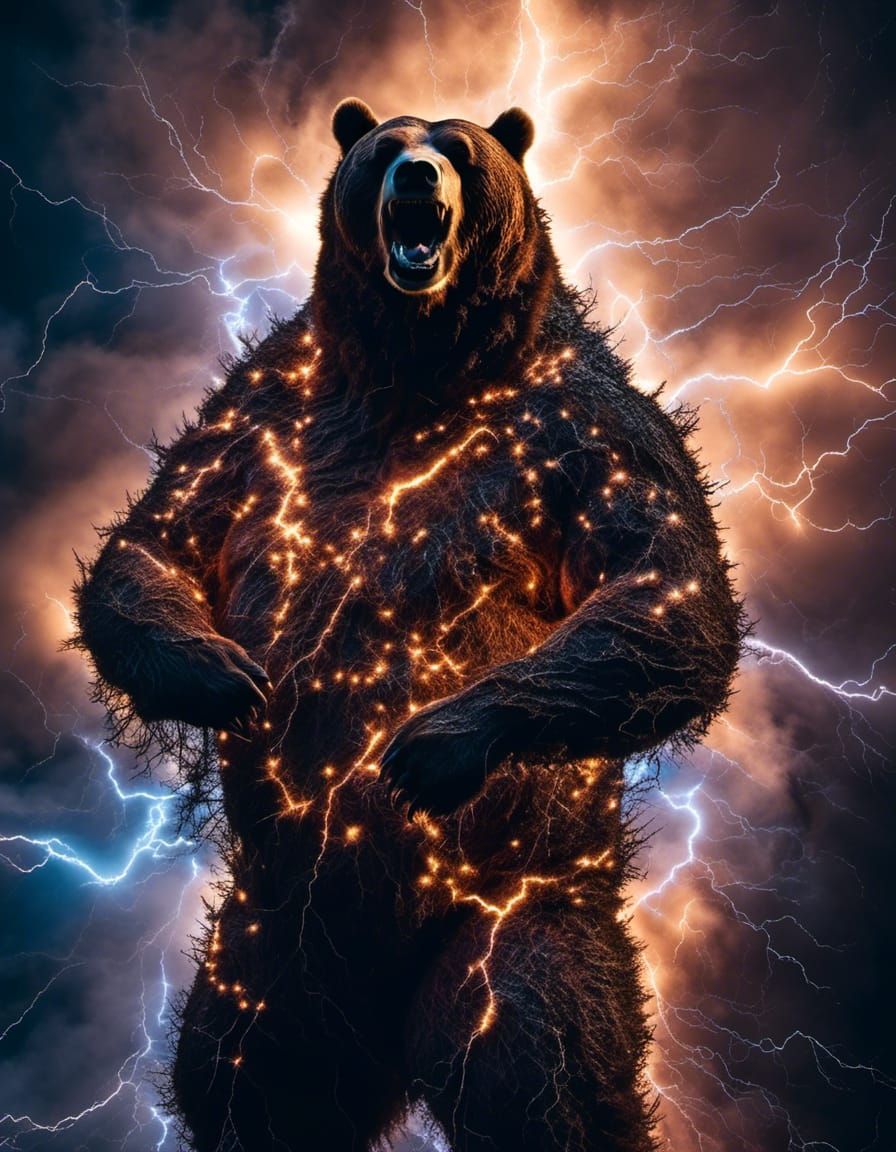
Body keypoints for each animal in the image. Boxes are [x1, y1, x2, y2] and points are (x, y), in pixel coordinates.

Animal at [74, 98, 744, 1152]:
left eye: (460, 151)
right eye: (386, 147)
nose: (417, 178)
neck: (412, 369)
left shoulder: (581, 420)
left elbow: (663, 578)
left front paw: (433, 740)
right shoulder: (270, 405)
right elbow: (161, 537)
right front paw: (224, 674)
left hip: (511, 897)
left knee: (529, 1056)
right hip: (267, 945)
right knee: (246, 1080)